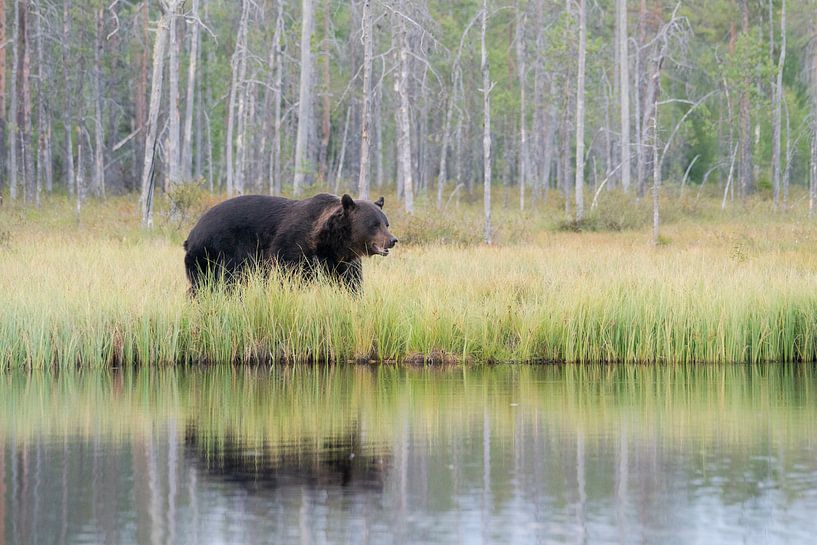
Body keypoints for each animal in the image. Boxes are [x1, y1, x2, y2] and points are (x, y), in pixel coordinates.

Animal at [183, 193, 397, 294]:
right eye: (374, 224)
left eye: (386, 223)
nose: (392, 240)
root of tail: (193, 231)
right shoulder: (292, 249)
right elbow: (288, 276)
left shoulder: (342, 262)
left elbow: (351, 284)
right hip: (217, 253)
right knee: (210, 283)